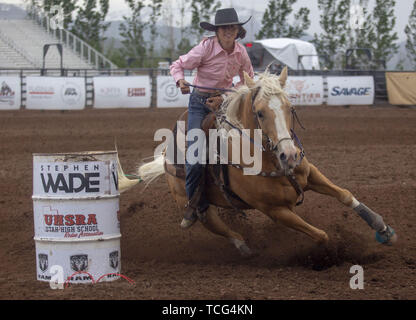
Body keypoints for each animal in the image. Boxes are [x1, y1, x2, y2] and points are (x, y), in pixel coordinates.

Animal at [122, 67, 396, 258]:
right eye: (261, 113)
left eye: (289, 107)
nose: (290, 154)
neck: (269, 160)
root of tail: (166, 156)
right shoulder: (274, 211)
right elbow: (321, 235)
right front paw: (330, 254)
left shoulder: (310, 174)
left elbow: (345, 195)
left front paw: (382, 229)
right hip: (192, 202)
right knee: (214, 224)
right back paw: (245, 248)